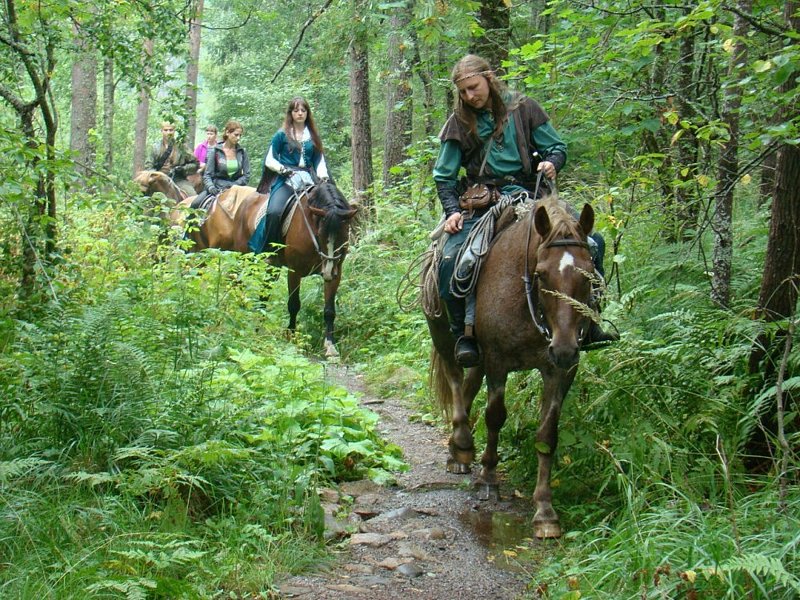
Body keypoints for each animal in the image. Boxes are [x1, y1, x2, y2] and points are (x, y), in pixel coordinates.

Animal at [173, 181, 357, 357]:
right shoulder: (294, 271)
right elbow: (294, 304)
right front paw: (291, 337)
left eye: (344, 236)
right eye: (320, 234)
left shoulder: (335, 272)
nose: (329, 271)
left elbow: (329, 310)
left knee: (261, 294)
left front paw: (330, 346)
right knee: (235, 283)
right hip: (238, 257)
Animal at [423, 197, 597, 539]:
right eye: (541, 274)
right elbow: (495, 417)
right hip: (444, 337)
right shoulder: (497, 361)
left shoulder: (560, 371)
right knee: (455, 380)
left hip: (478, 356)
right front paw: (489, 478)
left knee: (468, 386)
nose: (565, 348)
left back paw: (456, 451)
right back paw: (463, 445)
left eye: (588, 273)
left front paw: (545, 511)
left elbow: (547, 435)